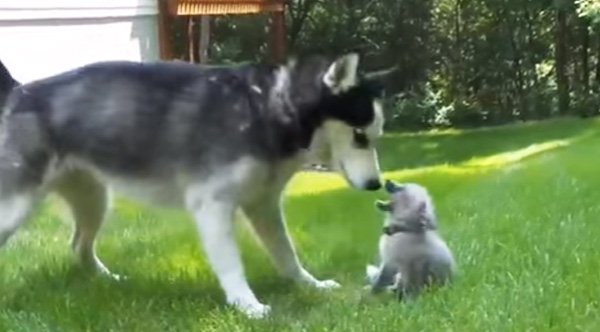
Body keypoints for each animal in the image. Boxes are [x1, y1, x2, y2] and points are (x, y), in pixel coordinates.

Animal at [0, 53, 384, 318]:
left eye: (375, 135)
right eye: (360, 136)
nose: (377, 184)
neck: (265, 107)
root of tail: (19, 91)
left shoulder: (263, 205)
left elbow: (286, 254)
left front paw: (310, 285)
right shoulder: (212, 205)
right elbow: (231, 265)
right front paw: (247, 305)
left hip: (94, 199)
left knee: (79, 244)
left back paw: (107, 280)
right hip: (16, 207)